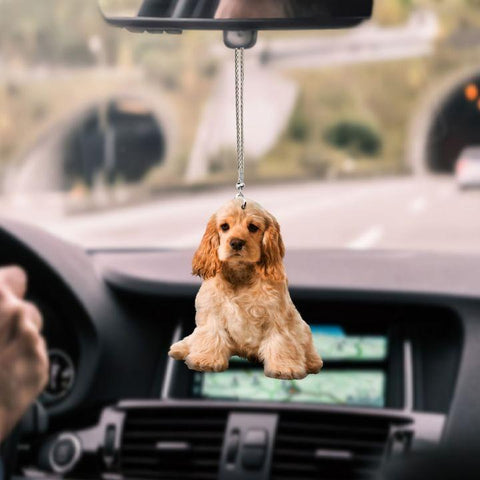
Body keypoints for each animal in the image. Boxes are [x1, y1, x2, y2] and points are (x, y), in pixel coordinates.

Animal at [168, 198, 322, 378]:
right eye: (224, 226)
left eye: (253, 227)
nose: (236, 243)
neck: (240, 273)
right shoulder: (212, 312)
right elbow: (211, 336)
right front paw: (206, 359)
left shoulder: (276, 317)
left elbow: (280, 342)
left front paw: (284, 367)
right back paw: (179, 348)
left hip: (302, 328)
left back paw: (313, 362)